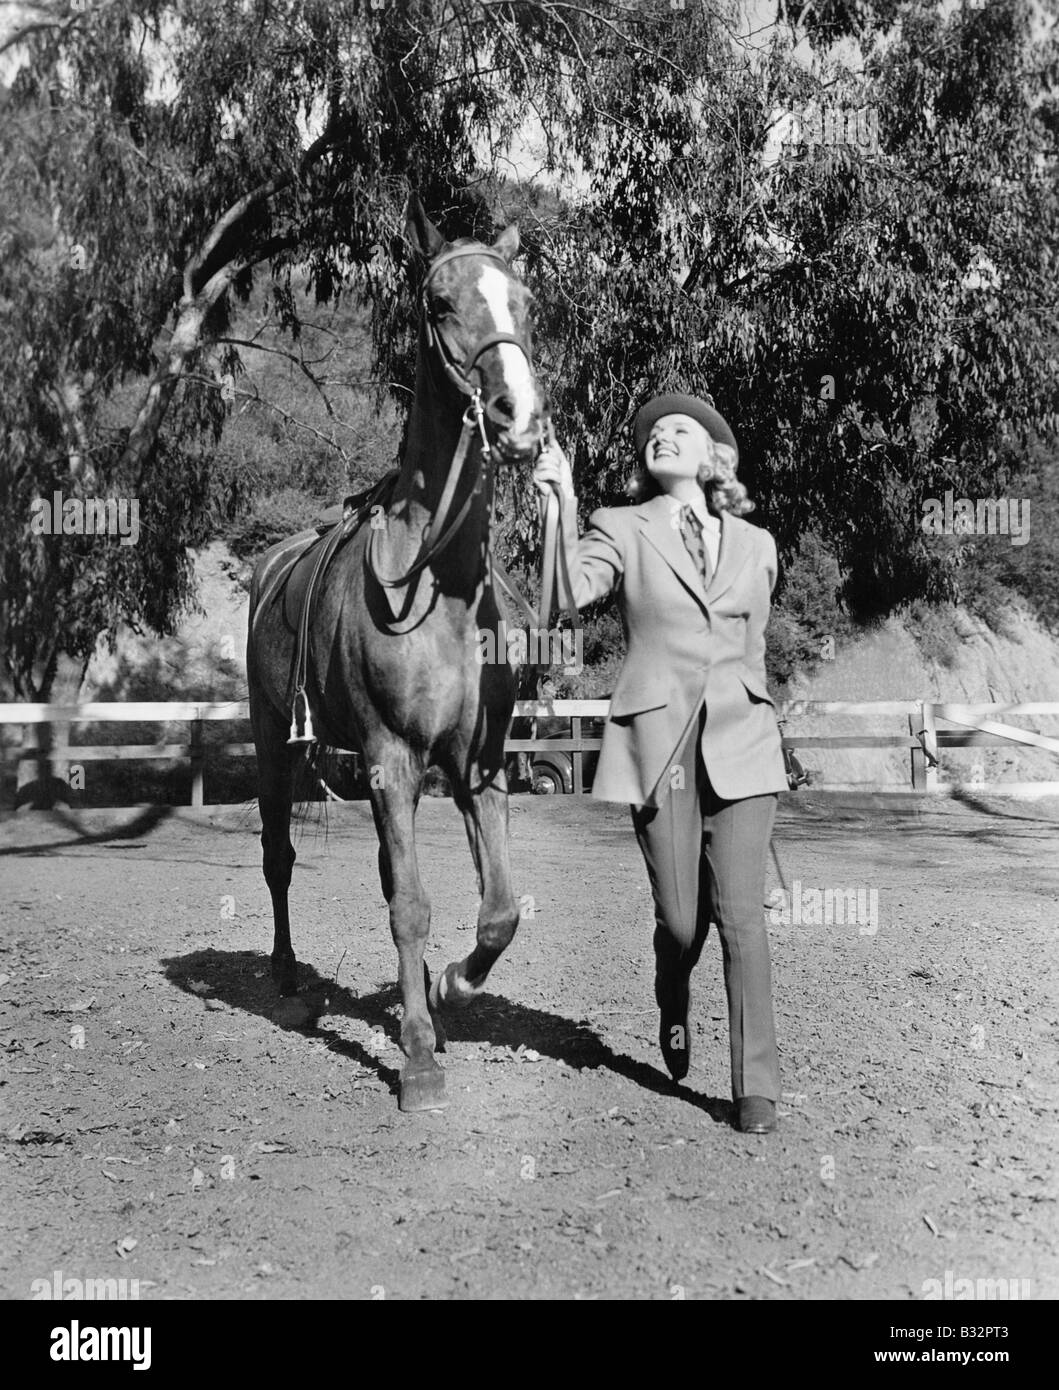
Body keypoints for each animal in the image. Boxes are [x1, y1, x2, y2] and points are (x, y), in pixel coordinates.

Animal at [247, 195, 544, 1112]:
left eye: (525, 303)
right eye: (440, 304)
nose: (518, 421)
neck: (439, 580)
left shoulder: (476, 765)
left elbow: (497, 909)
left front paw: (448, 990)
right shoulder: (390, 759)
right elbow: (410, 907)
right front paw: (416, 1055)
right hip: (273, 744)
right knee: (279, 858)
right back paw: (287, 980)